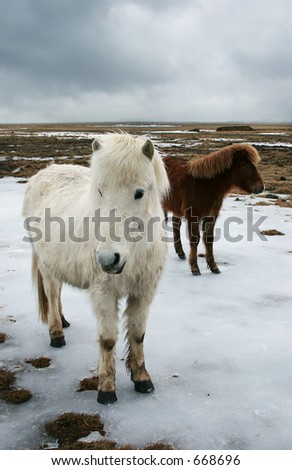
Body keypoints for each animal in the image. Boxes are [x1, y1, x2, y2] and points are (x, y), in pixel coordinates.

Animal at [23, 133, 169, 404]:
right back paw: (56, 334)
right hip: (47, 268)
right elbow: (108, 340)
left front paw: (142, 379)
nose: (108, 259)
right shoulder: (104, 293)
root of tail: (44, 173)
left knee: (57, 294)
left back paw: (64, 321)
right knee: (51, 294)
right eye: (100, 191)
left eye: (139, 192)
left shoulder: (143, 292)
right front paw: (106, 389)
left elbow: (138, 334)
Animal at [163, 144, 264, 276]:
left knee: (176, 225)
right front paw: (195, 268)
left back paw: (180, 253)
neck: (205, 186)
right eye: (248, 166)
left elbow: (209, 240)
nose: (261, 187)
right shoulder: (193, 217)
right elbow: (195, 240)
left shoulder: (211, 217)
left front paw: (214, 267)